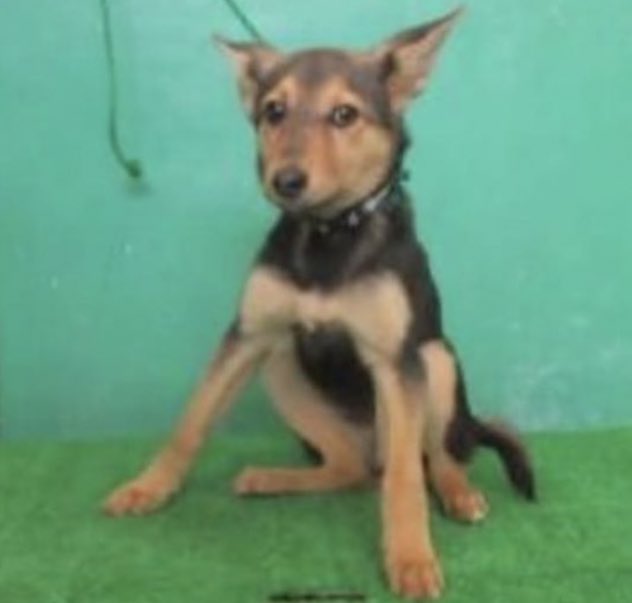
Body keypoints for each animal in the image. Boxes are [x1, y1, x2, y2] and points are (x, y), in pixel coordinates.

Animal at [103, 8, 535, 599]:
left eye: (344, 115)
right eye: (273, 111)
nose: (285, 181)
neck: (329, 235)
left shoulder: (396, 360)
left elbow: (406, 479)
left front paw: (411, 557)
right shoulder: (248, 335)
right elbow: (192, 420)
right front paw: (149, 487)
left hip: (437, 360)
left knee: (433, 455)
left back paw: (457, 491)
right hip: (282, 366)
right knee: (351, 469)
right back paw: (274, 478)